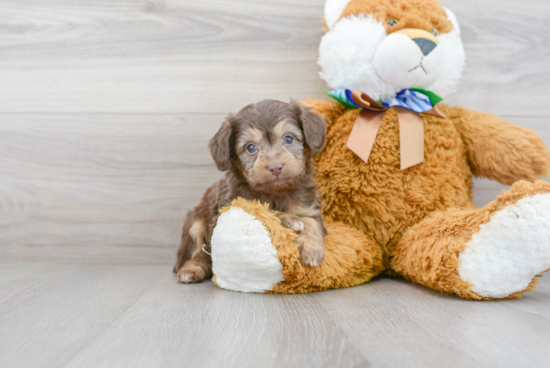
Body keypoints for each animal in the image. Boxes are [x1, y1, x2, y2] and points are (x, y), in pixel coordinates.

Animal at [175, 99, 328, 284]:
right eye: (250, 148)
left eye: (289, 139)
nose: (275, 167)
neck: (275, 193)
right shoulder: (230, 207)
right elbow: (264, 212)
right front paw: (290, 220)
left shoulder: (308, 206)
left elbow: (311, 221)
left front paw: (312, 248)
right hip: (196, 222)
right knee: (198, 252)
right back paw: (191, 270)